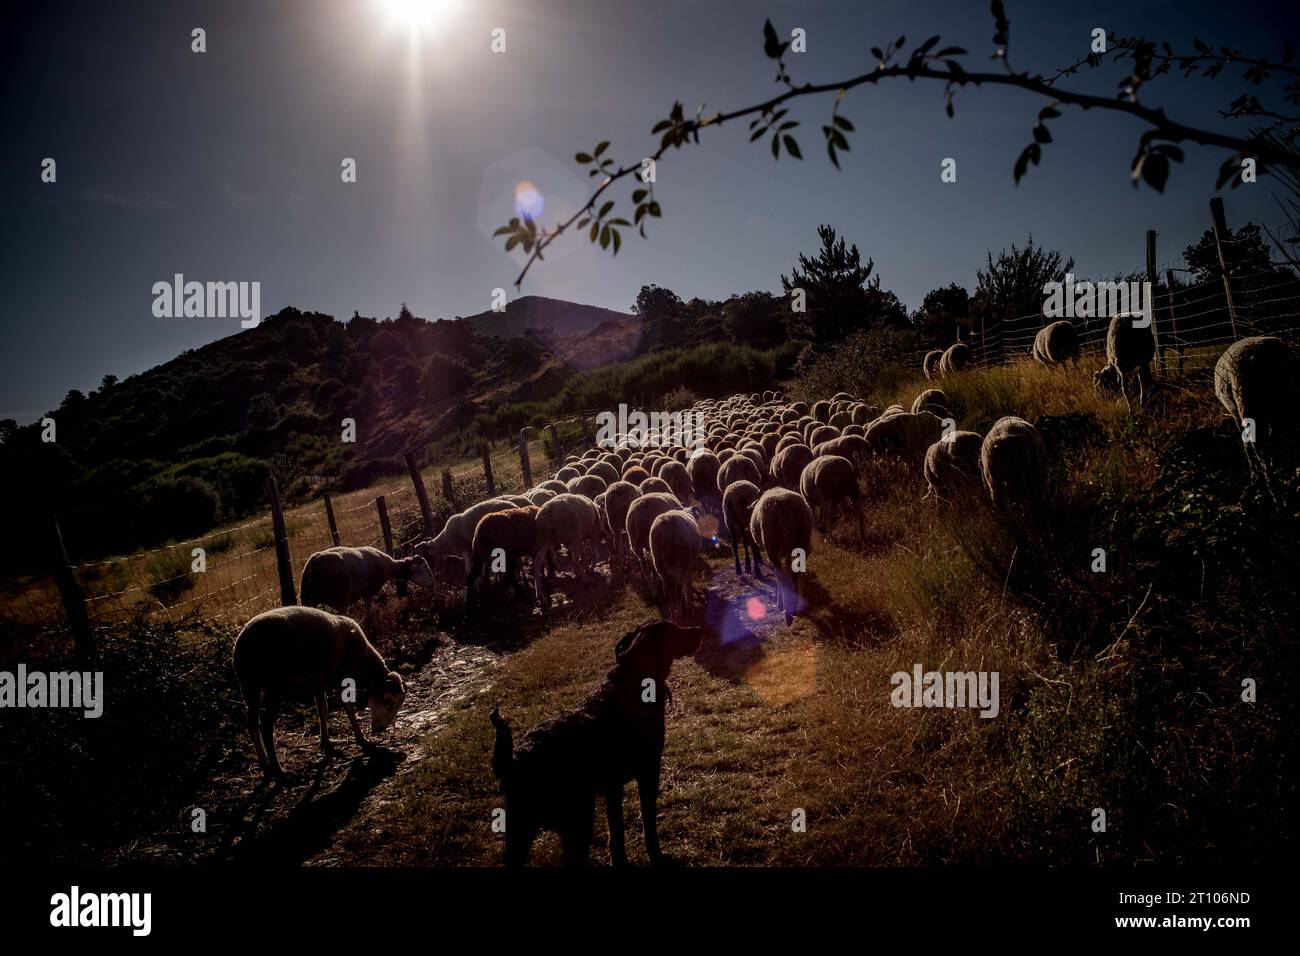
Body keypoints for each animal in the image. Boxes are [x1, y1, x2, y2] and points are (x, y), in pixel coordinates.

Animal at [297, 546, 434, 621]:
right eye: (425, 567)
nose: (434, 584)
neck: (391, 567)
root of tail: (314, 563)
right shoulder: (370, 591)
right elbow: (368, 611)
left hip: (308, 599)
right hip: (341, 598)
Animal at [491, 621, 707, 868]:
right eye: (675, 630)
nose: (700, 629)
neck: (635, 681)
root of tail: (513, 760)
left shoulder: (613, 786)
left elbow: (617, 830)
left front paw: (620, 860)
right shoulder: (648, 771)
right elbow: (648, 822)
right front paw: (656, 854)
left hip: (522, 828)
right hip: (578, 817)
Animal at [748, 494, 806, 629]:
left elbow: (779, 575)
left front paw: (779, 601)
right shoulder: (788, 552)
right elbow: (789, 568)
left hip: (772, 544)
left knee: (782, 577)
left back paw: (787, 613)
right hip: (802, 541)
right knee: (797, 574)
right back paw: (798, 605)